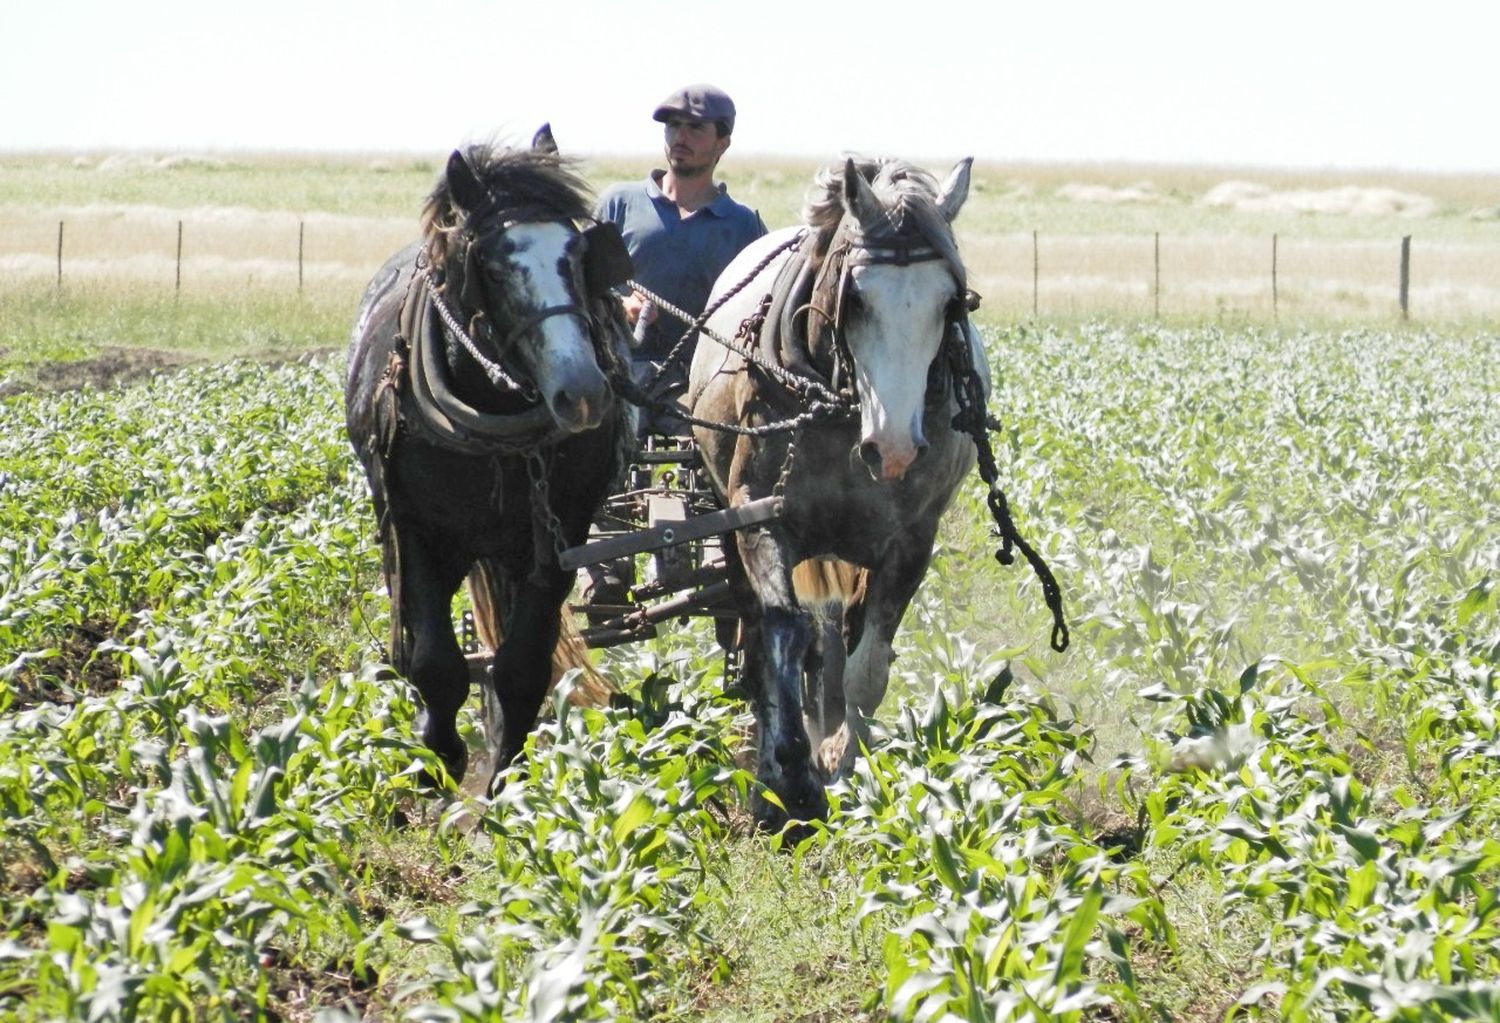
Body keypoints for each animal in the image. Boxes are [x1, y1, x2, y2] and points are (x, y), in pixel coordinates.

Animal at [345, 131, 633, 786]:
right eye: (496, 267)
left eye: (577, 254)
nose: (583, 392)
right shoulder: (413, 528)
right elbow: (434, 662)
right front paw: (440, 759)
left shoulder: (558, 537)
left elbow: (520, 666)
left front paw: (506, 776)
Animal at [687, 153, 984, 828]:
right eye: (858, 298)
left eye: (950, 303)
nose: (894, 448)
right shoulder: (759, 517)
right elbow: (781, 636)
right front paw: (789, 783)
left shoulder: (911, 541)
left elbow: (865, 669)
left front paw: (849, 773)